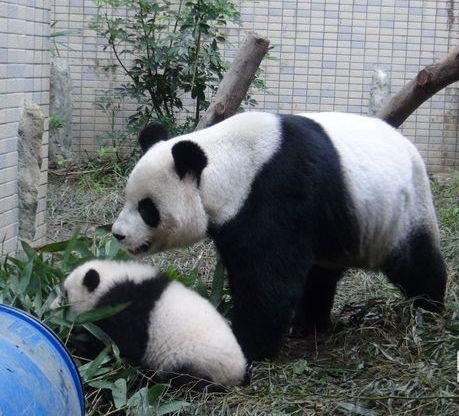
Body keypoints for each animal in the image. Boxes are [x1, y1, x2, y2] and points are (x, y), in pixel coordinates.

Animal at [55, 259, 248, 389]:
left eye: (65, 294)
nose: (51, 308)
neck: (110, 282)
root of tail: (238, 371)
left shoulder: (123, 311)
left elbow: (118, 345)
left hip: (193, 360)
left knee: (183, 379)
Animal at [111, 111, 447, 362]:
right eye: (128, 199)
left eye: (147, 209)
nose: (118, 234)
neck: (227, 160)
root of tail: (410, 148)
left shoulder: (276, 192)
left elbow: (268, 282)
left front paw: (246, 345)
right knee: (320, 275)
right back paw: (308, 324)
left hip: (400, 211)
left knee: (415, 262)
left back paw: (429, 308)